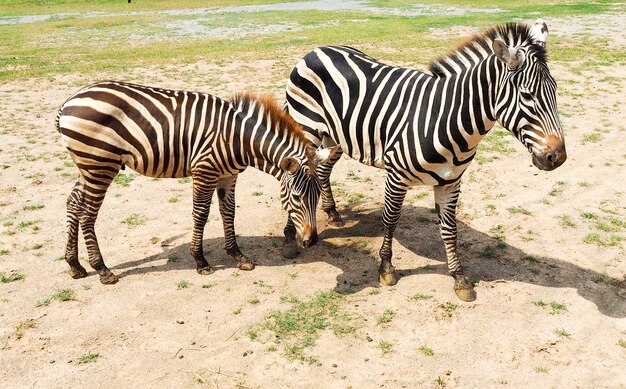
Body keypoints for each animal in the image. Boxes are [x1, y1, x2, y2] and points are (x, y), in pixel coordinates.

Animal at [56, 80, 336, 284]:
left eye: (317, 197)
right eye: (297, 197)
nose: (311, 241)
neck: (239, 139)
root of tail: (70, 100)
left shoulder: (228, 176)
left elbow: (228, 212)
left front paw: (237, 255)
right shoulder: (205, 171)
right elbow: (201, 214)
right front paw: (200, 261)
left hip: (87, 166)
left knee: (73, 203)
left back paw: (74, 265)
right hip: (100, 164)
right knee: (88, 213)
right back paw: (102, 269)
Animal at [282, 19, 564, 302]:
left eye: (555, 91)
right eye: (527, 96)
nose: (558, 157)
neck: (447, 118)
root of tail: (316, 50)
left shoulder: (451, 182)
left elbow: (449, 230)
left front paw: (459, 278)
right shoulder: (396, 177)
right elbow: (390, 220)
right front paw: (386, 269)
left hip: (334, 138)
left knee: (323, 171)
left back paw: (332, 212)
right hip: (307, 129)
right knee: (292, 176)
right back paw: (289, 233)